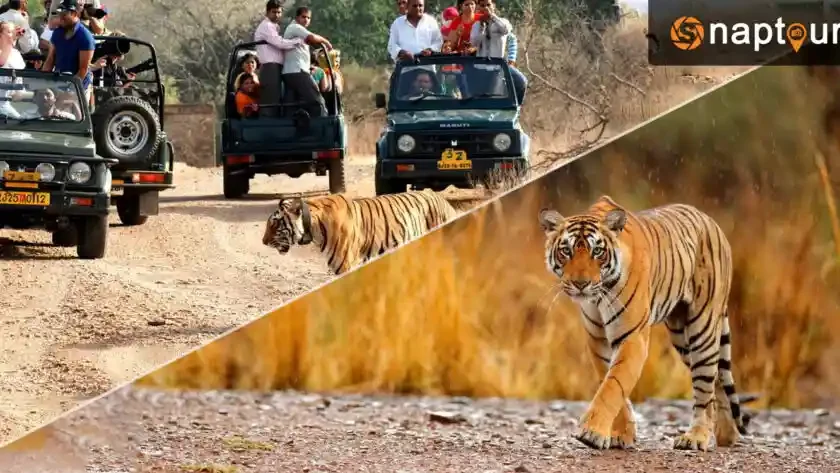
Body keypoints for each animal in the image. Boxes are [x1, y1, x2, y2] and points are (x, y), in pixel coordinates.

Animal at [540, 195, 752, 450]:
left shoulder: (632, 337)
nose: (581, 284)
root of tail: (712, 222)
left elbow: (614, 385)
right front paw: (621, 434)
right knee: (717, 379)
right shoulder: (598, 340)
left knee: (705, 388)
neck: (599, 296)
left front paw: (591, 432)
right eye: (566, 251)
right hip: (682, 337)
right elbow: (610, 382)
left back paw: (695, 437)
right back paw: (726, 436)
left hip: (702, 328)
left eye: (597, 251)